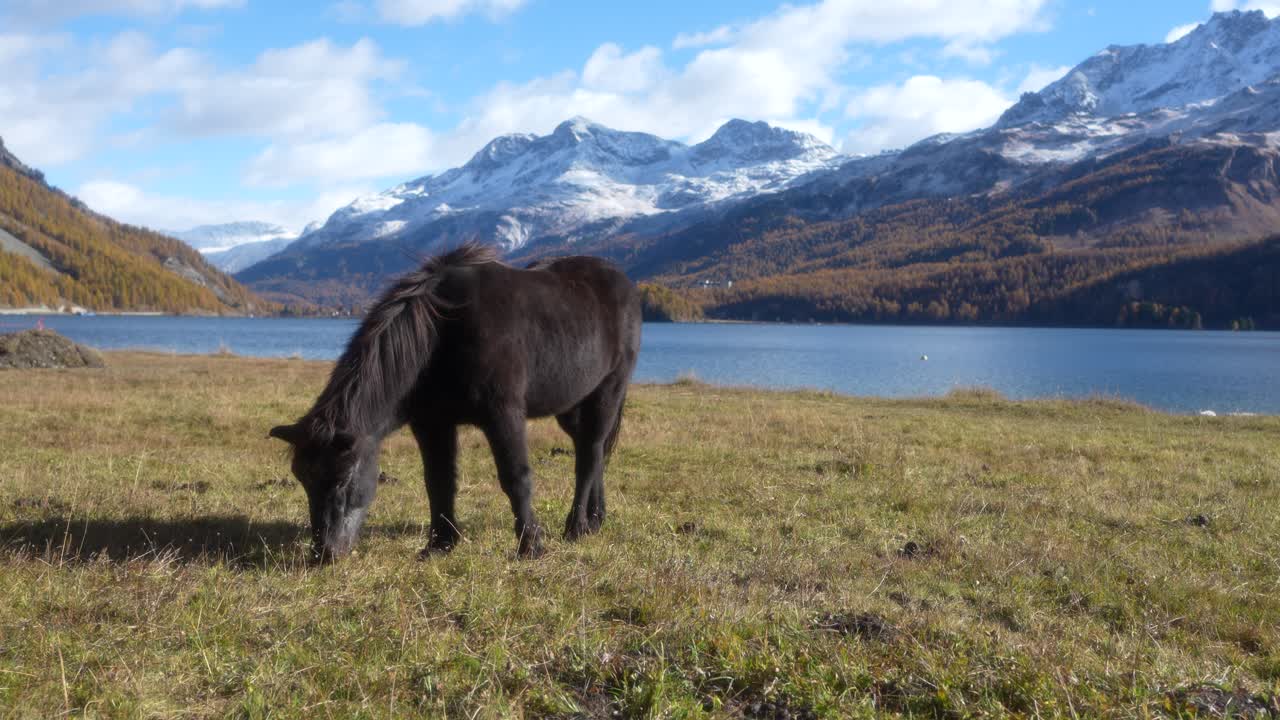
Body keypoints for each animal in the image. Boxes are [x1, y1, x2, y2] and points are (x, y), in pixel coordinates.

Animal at [269, 243, 642, 562]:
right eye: (303, 480)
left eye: (344, 479)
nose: (325, 553)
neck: (443, 333)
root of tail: (621, 280)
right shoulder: (432, 424)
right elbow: (438, 480)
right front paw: (440, 545)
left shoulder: (503, 415)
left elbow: (516, 477)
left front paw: (531, 546)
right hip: (572, 405)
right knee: (591, 451)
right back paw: (595, 520)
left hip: (607, 392)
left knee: (589, 456)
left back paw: (576, 527)